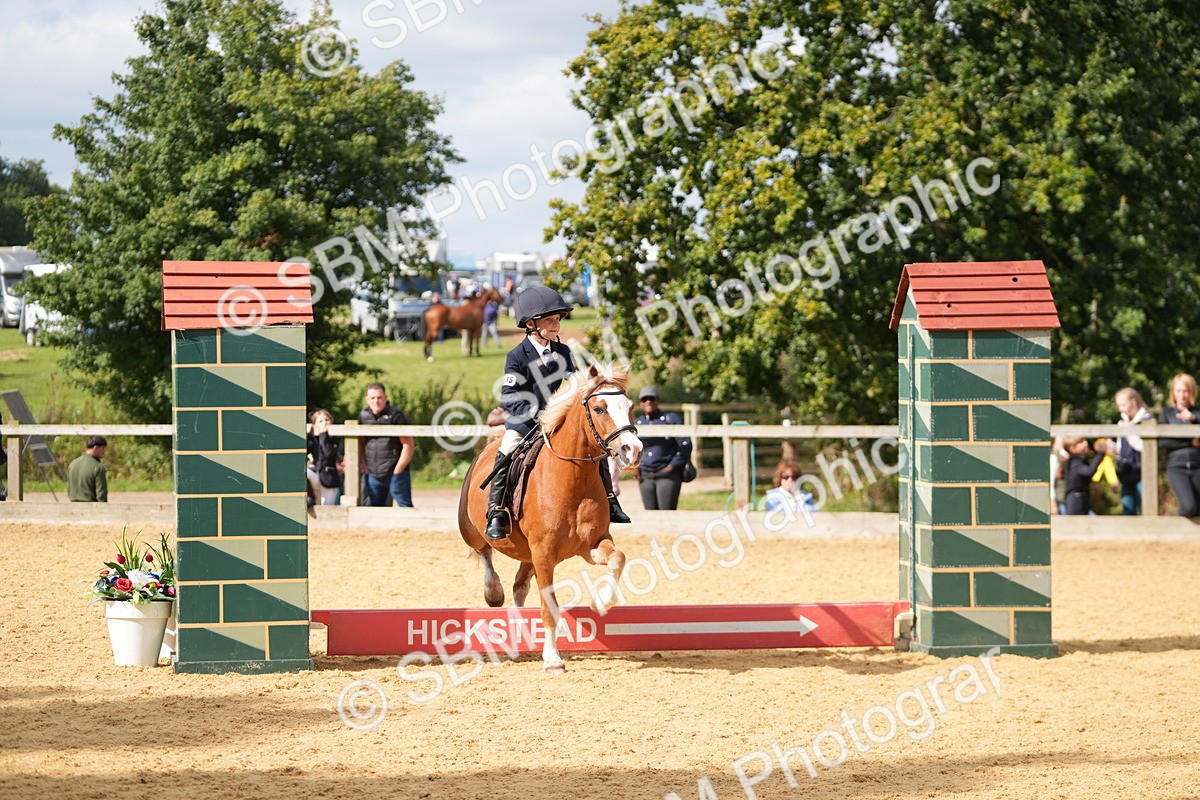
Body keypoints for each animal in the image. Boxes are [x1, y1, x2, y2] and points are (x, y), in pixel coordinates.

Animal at [457, 363, 643, 674]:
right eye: (599, 408)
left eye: (629, 407)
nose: (634, 450)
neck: (573, 478)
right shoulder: (544, 553)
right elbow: (549, 607)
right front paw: (553, 659)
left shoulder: (591, 544)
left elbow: (618, 558)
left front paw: (600, 604)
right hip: (471, 530)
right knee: (484, 553)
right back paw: (493, 591)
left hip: (527, 553)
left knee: (519, 586)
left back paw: (516, 640)